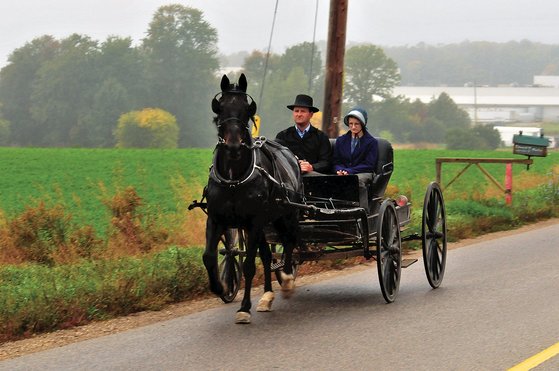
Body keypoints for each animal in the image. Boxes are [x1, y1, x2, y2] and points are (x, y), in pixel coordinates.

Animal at [205, 74, 304, 324]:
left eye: (246, 109)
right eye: (220, 108)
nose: (232, 145)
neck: (234, 178)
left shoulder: (255, 220)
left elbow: (250, 264)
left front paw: (244, 308)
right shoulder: (216, 219)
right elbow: (209, 256)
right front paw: (220, 287)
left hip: (286, 215)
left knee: (289, 242)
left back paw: (287, 280)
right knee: (268, 255)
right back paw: (267, 296)